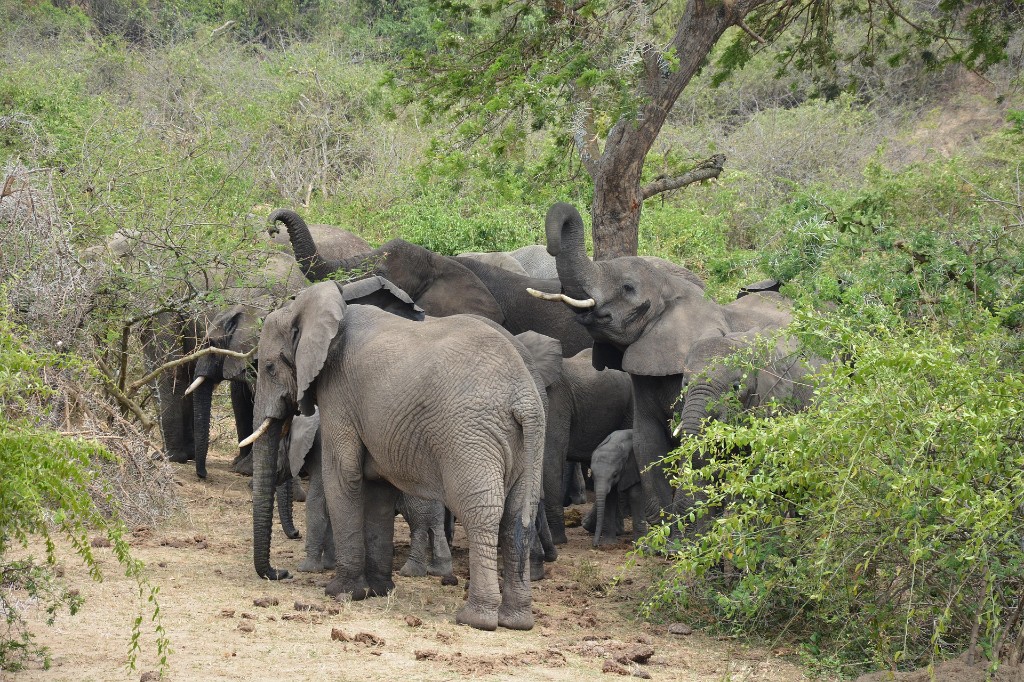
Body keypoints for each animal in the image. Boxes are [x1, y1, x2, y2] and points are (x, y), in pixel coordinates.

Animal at [247, 281, 545, 631]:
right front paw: (379, 590)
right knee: (518, 515)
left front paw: (341, 592)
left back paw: (476, 619)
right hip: (528, 441)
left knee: (482, 512)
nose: (281, 573)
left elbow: (343, 476)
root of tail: (523, 398)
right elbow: (377, 489)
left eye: (269, 367)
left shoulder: (339, 393)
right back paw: (517, 621)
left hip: (470, 434)